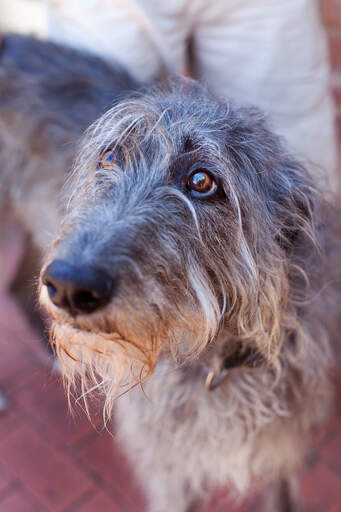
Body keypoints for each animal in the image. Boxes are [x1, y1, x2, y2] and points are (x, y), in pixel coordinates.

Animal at [0, 34, 334, 510]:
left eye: (201, 181)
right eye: (110, 156)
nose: (69, 286)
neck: (217, 364)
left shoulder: (278, 453)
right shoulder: (171, 470)